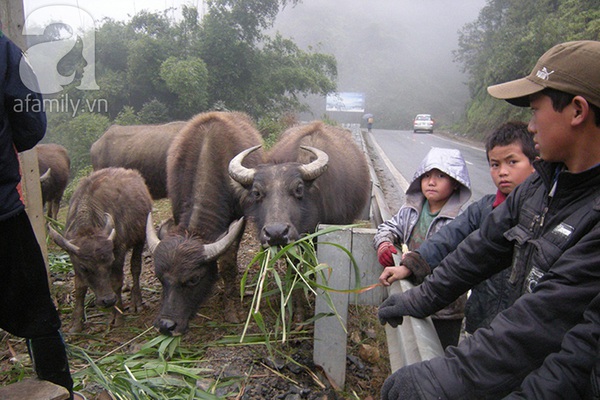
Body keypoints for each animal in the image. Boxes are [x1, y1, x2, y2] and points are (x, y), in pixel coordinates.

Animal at [49, 167, 152, 332]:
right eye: (84, 268)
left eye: (110, 262)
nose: (108, 300)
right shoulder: (74, 260)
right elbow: (80, 288)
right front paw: (76, 324)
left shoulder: (119, 251)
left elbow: (116, 281)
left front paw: (118, 318)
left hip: (140, 239)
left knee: (135, 268)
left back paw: (136, 302)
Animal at [144, 111, 264, 336]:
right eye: (159, 277)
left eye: (193, 279)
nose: (166, 325)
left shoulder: (238, 220)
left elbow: (228, 264)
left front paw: (231, 308)